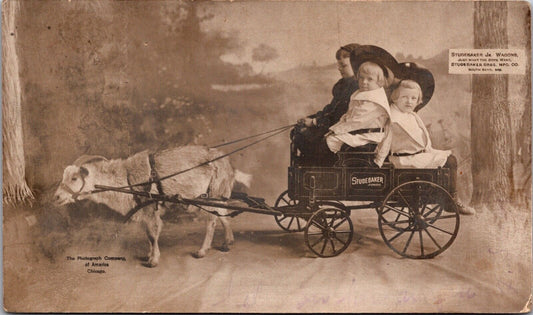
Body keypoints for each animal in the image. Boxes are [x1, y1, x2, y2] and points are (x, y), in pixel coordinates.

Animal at [54, 146, 251, 266]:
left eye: (74, 178)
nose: (56, 197)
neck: (125, 177)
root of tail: (229, 166)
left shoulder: (149, 209)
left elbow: (152, 233)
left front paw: (153, 260)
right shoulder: (144, 211)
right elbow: (148, 235)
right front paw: (149, 255)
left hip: (213, 192)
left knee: (212, 220)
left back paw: (202, 251)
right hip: (218, 193)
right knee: (222, 213)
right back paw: (227, 242)